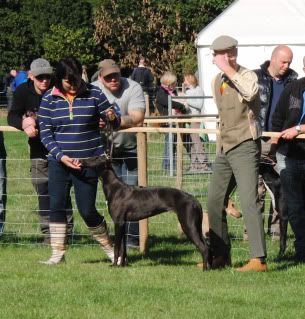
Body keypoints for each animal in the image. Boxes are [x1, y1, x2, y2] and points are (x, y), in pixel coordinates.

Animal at [80, 158, 209, 270]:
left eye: (95, 159)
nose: (81, 160)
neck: (114, 187)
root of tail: (195, 200)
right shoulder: (123, 224)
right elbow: (123, 248)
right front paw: (122, 265)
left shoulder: (118, 222)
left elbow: (117, 247)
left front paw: (115, 265)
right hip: (196, 226)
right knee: (207, 246)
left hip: (188, 225)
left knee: (203, 247)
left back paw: (204, 269)